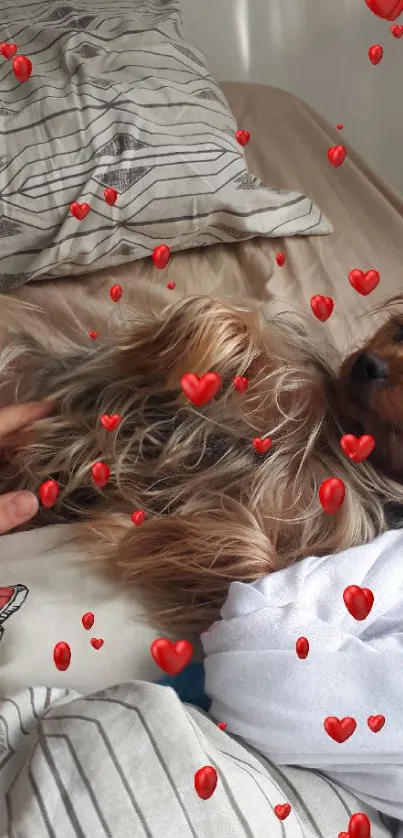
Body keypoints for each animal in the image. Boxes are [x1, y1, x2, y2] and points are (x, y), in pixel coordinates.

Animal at [0, 286, 403, 632]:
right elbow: (237, 326)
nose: (367, 364)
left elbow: (257, 562)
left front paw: (160, 536)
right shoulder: (296, 378)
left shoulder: (315, 546)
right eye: (397, 332)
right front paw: (160, 351)